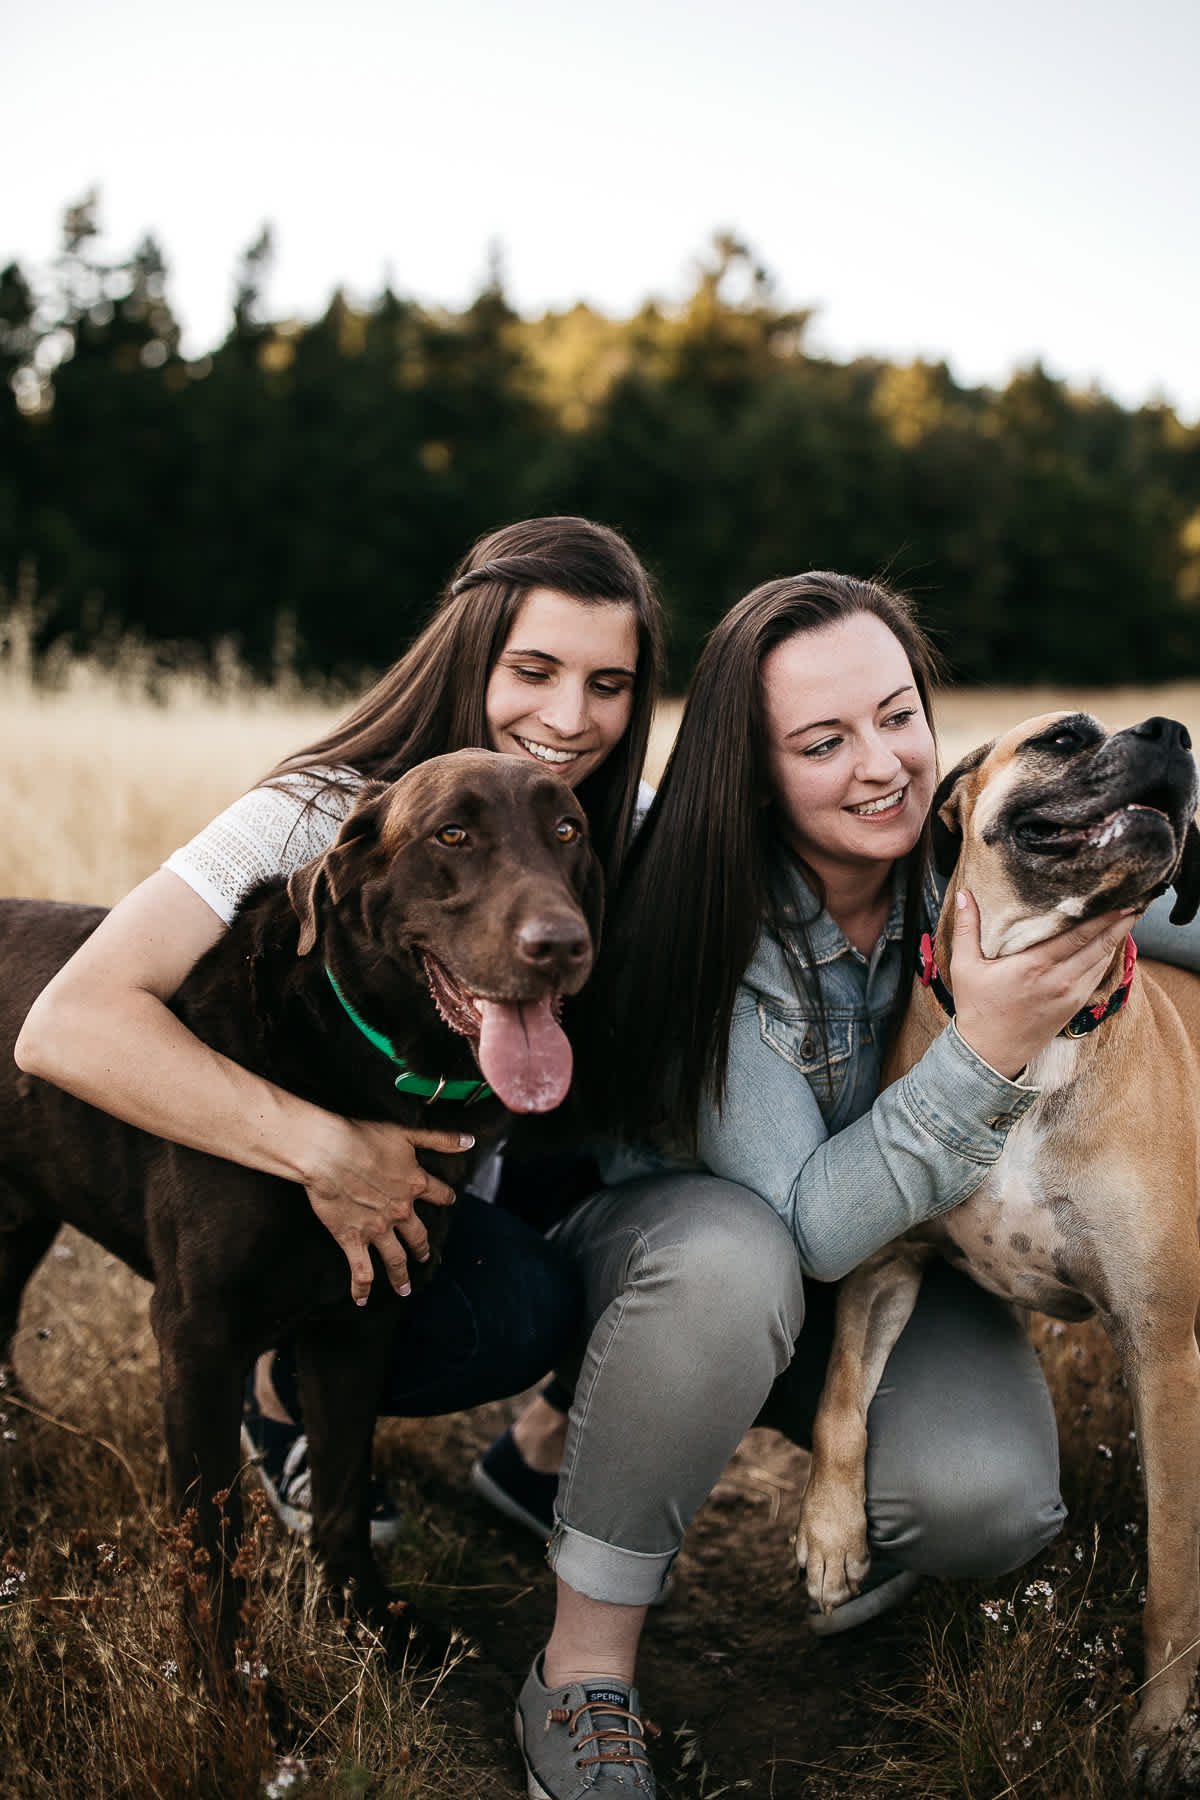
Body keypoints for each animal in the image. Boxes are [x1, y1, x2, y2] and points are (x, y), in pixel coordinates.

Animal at [798, 709, 1200, 1792]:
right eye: (1065, 738)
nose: (1175, 730)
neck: (1039, 1036)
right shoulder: (883, 1263)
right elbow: (841, 1398)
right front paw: (831, 1535)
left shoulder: (1164, 1352)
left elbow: (1173, 1576)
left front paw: (1163, 1731)